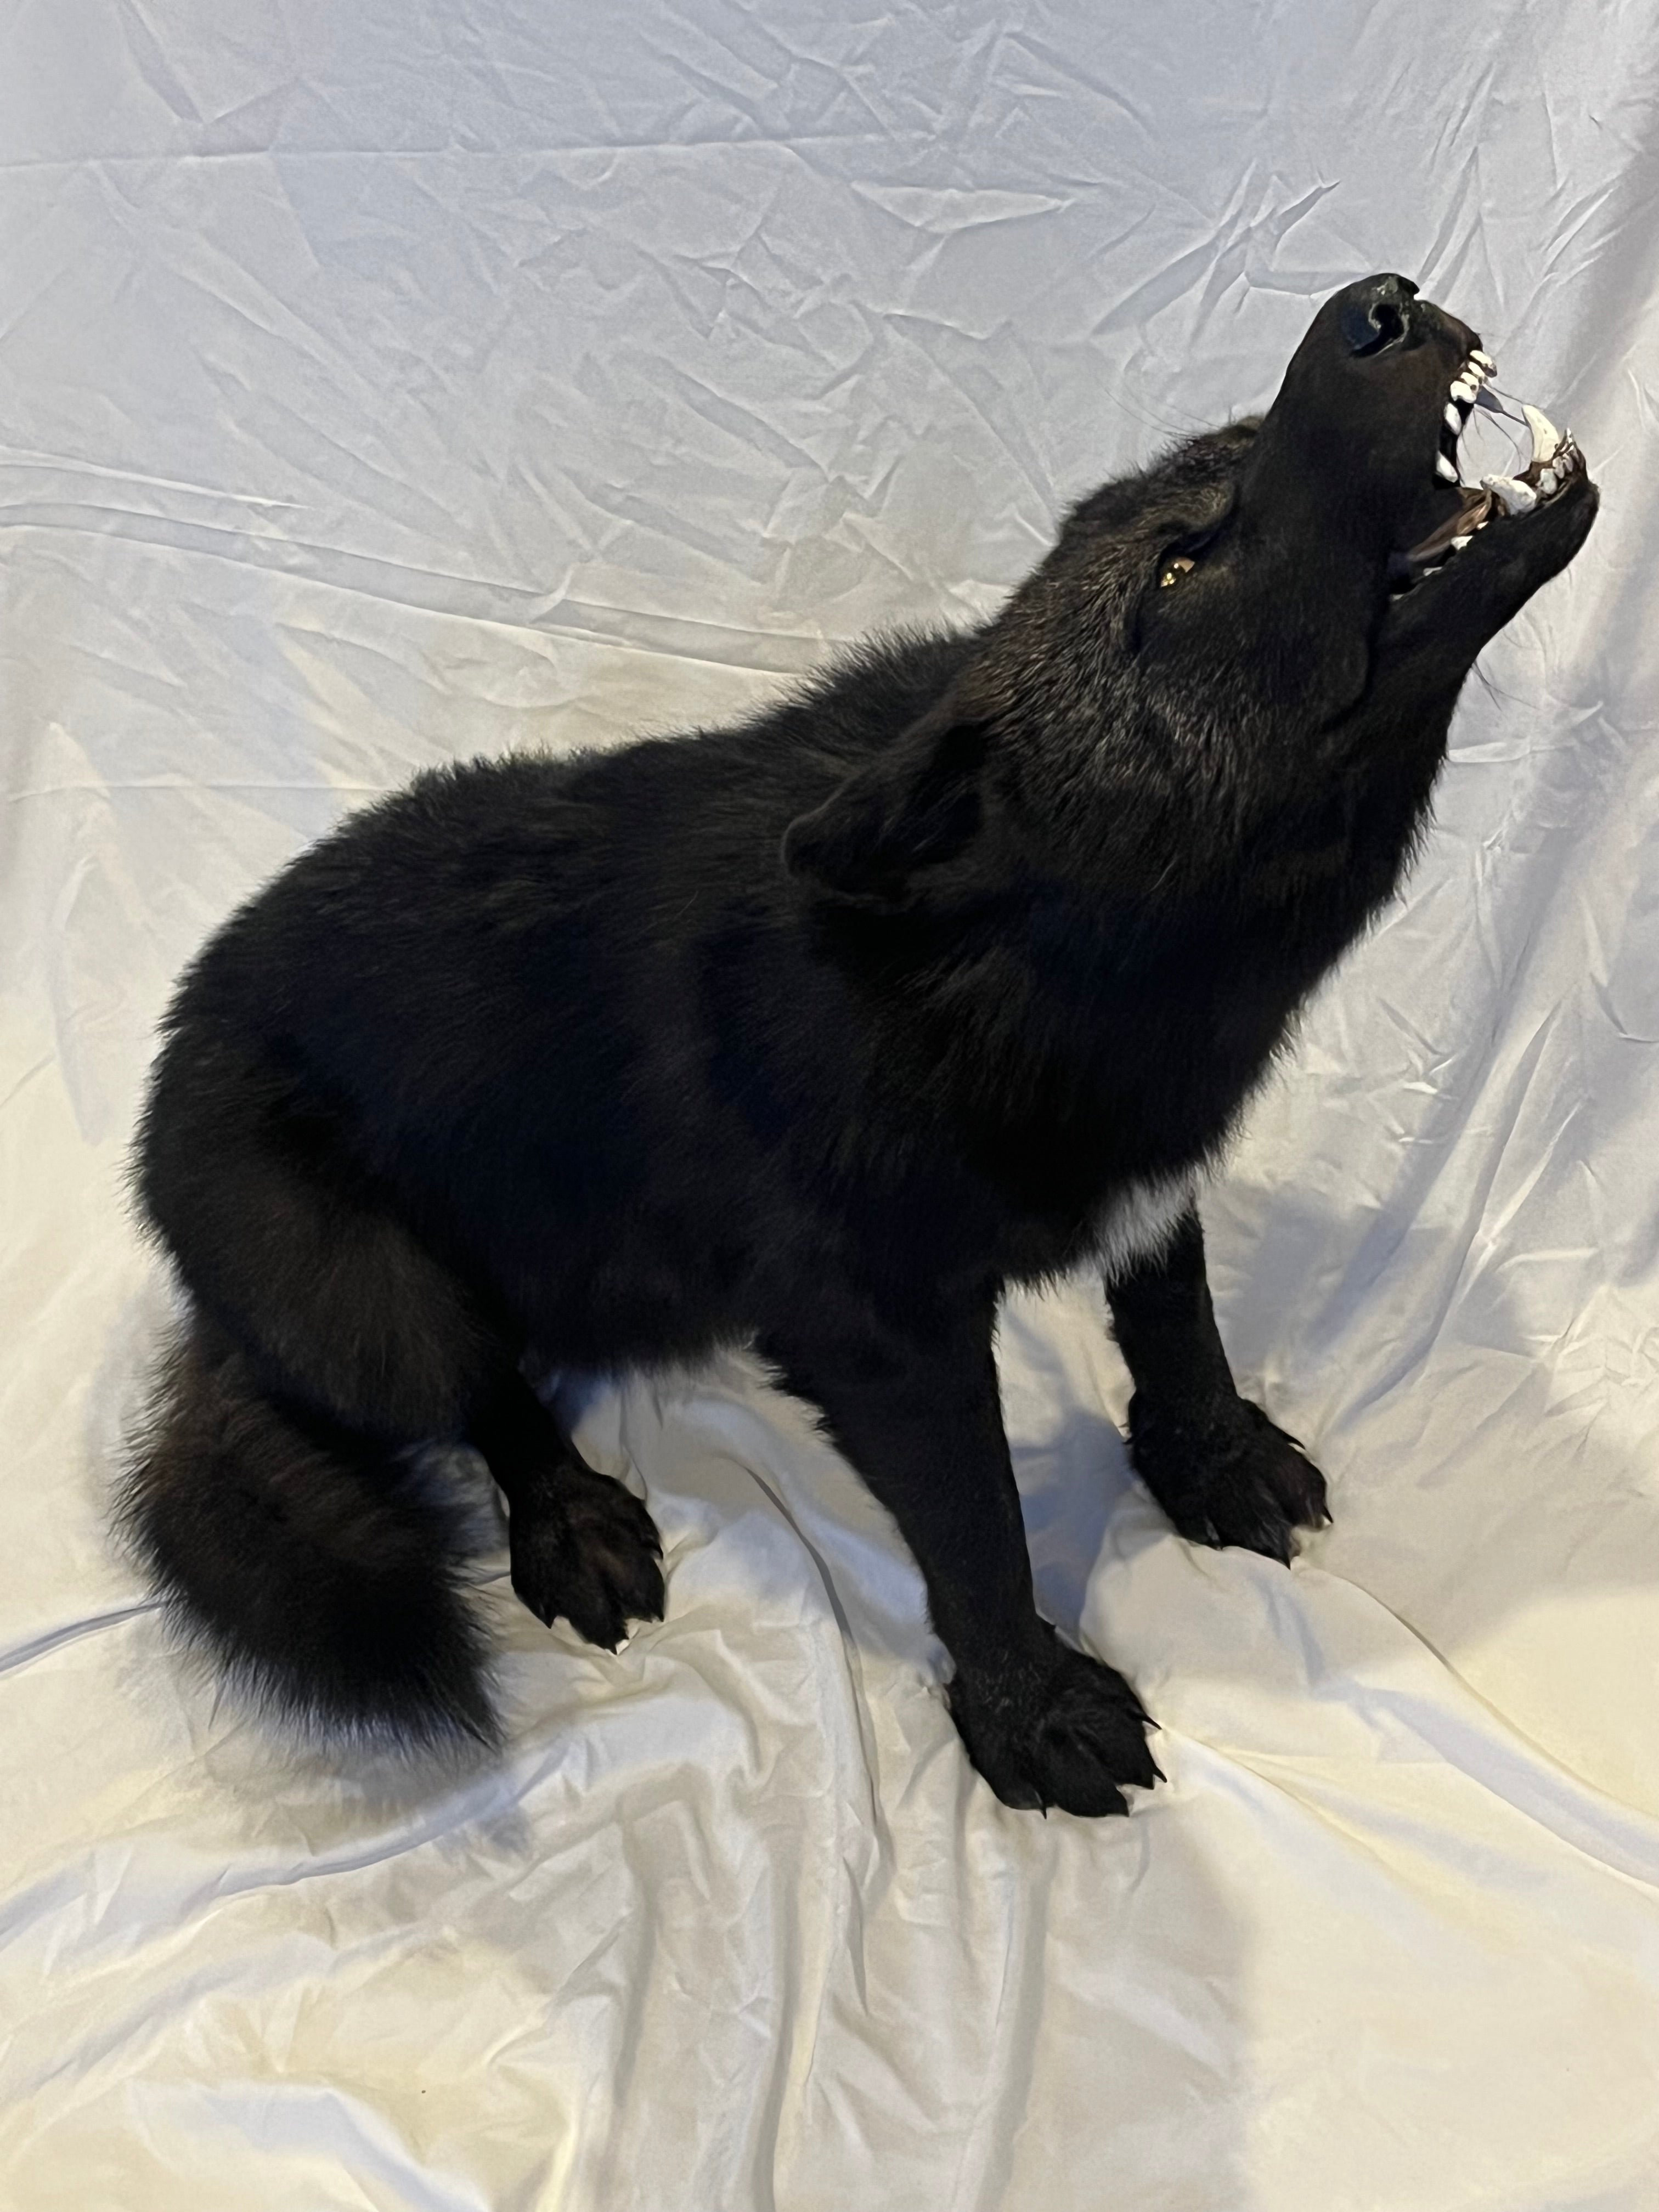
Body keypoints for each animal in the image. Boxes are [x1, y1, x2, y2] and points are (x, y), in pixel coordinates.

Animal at [123, 276, 1597, 1815]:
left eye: (1233, 461)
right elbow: (979, 1527)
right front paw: (1028, 1712)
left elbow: (1180, 1332)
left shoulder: (1152, 1191)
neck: (1022, 965)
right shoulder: (881, 1338)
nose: (1381, 303)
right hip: (371, 1295)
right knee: (488, 1399)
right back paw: (570, 1517)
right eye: (1179, 571)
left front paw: (1211, 1465)